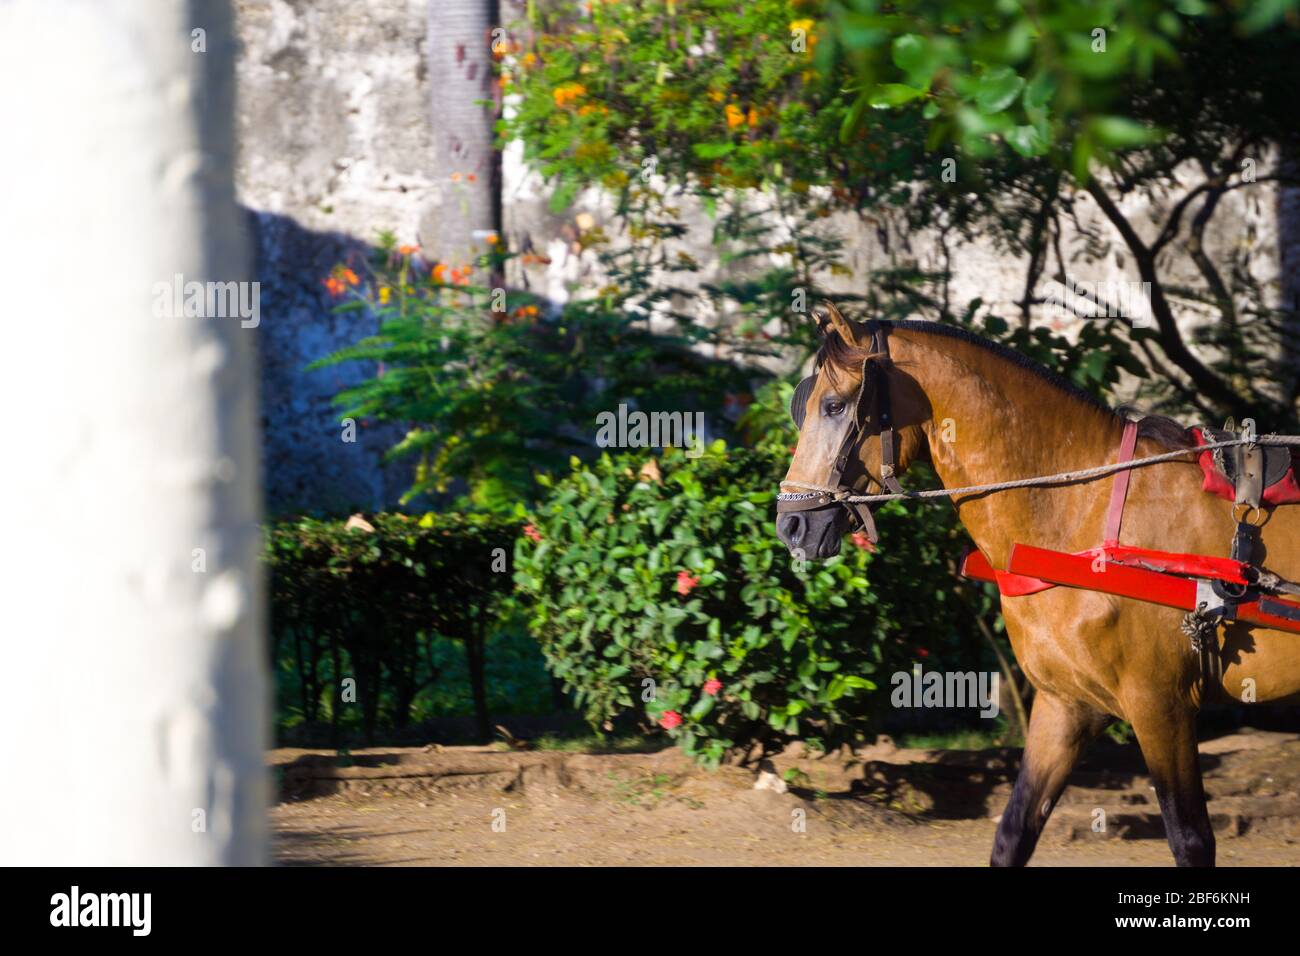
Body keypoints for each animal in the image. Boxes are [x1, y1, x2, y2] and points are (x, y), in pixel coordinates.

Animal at [774, 306, 1294, 868]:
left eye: (834, 405)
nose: (791, 525)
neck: (1083, 514)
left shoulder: (1162, 704)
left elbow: (1190, 838)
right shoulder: (1065, 705)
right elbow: (1014, 832)